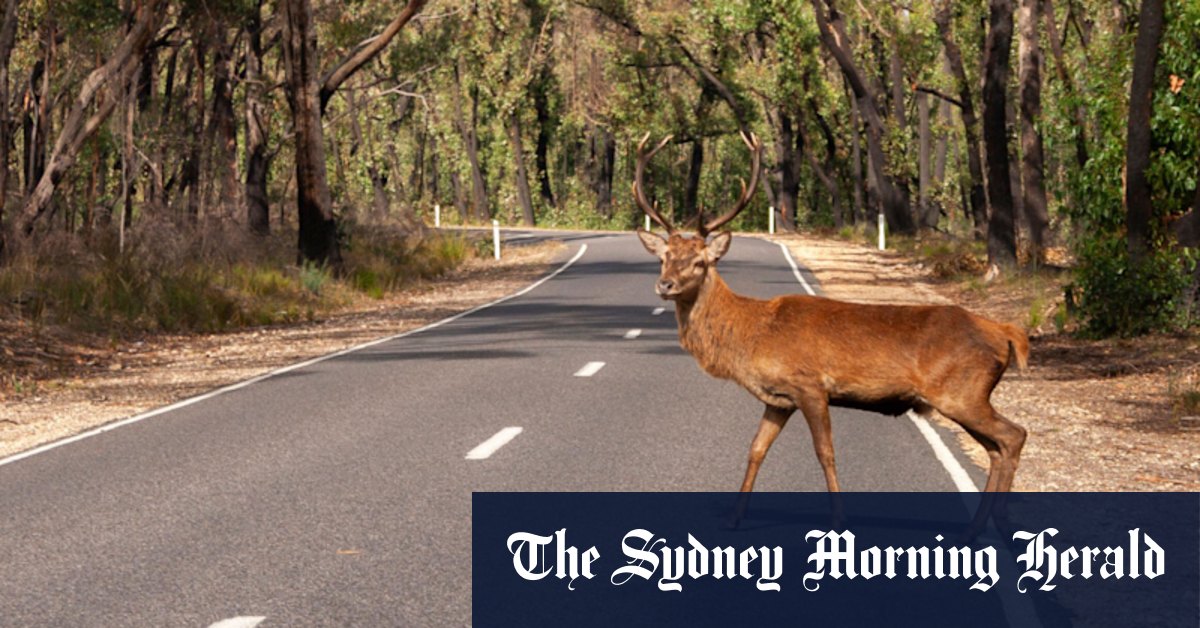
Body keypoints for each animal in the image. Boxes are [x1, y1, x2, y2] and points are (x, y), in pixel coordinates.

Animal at [633, 131, 1029, 529]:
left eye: (699, 261)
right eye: (664, 257)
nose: (665, 285)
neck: (752, 335)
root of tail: (1006, 333)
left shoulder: (809, 384)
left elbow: (825, 452)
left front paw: (839, 519)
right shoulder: (778, 399)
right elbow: (756, 449)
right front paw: (734, 517)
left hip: (961, 392)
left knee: (1014, 435)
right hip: (966, 396)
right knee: (996, 448)